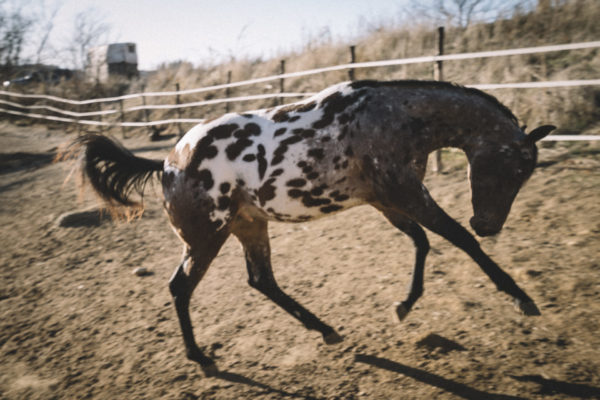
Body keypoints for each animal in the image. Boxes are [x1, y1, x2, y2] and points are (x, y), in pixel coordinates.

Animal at [61, 79, 552, 376]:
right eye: (516, 167)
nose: (487, 224)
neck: (393, 118)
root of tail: (167, 163)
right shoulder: (406, 194)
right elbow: (455, 240)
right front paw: (522, 299)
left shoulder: (386, 199)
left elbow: (422, 242)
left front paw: (403, 305)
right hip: (207, 237)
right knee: (181, 288)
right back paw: (201, 358)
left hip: (248, 226)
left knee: (261, 280)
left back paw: (326, 330)